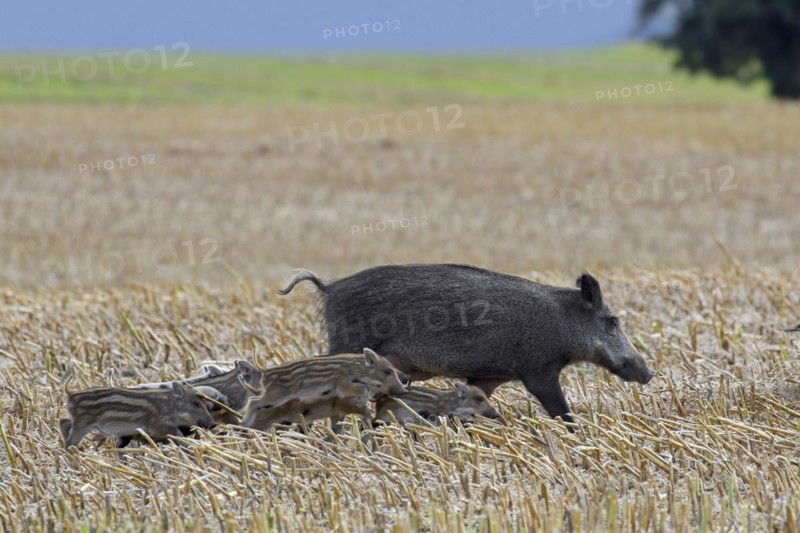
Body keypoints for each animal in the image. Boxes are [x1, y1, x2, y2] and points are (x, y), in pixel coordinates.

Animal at [60, 381, 216, 449]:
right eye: (195, 404)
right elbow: (178, 434)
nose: (213, 424)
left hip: (78, 420)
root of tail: (71, 394)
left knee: (63, 421)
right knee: (70, 440)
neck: (169, 406)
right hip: (83, 422)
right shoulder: (158, 425)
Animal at [279, 264, 655, 424]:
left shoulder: (490, 376)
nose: (649, 373)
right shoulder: (538, 370)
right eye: (613, 321)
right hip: (348, 346)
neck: (563, 325)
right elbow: (560, 410)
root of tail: (329, 288)